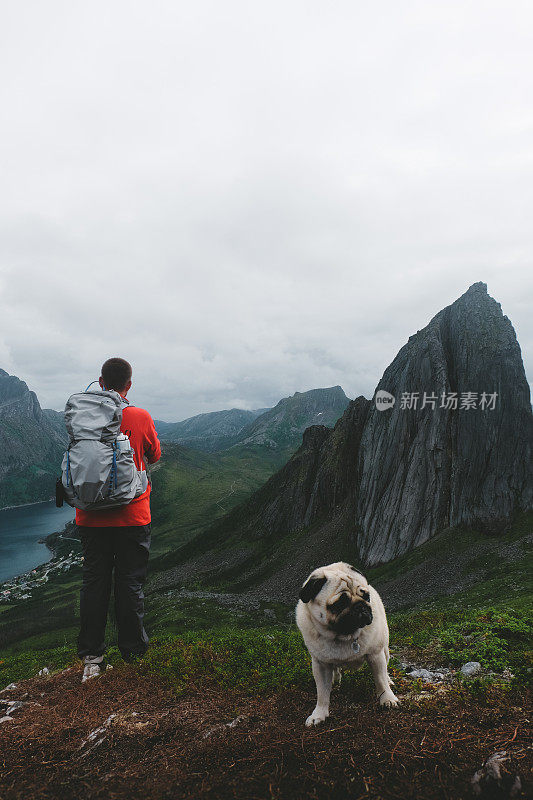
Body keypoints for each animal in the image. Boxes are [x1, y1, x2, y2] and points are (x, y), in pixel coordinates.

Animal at [298, 564, 396, 724]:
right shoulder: (320, 664)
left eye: (366, 596)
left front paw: (387, 699)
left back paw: (389, 680)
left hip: (384, 649)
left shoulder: (375, 655)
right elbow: (322, 693)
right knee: (335, 669)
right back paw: (335, 679)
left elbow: (380, 680)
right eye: (340, 603)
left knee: (385, 669)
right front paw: (319, 714)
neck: (345, 636)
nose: (361, 606)